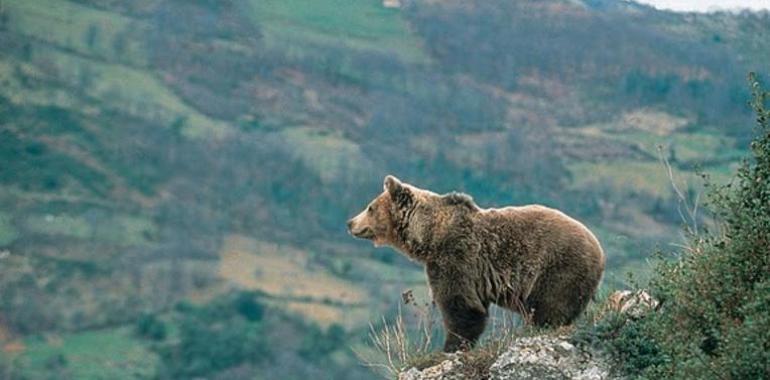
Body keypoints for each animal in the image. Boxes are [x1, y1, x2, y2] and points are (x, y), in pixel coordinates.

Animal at [344, 177, 604, 352]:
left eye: (370, 207)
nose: (350, 222)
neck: (429, 236)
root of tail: (600, 251)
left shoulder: (456, 257)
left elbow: (461, 305)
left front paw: (450, 347)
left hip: (558, 268)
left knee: (551, 308)